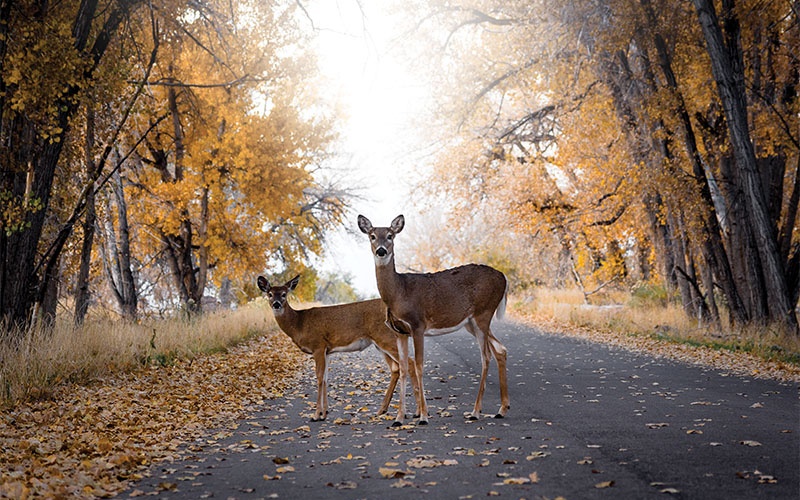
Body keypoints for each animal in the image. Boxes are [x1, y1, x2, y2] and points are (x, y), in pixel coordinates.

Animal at [258, 276, 422, 420]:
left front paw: (316, 415)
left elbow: (319, 377)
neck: (299, 324)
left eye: (284, 294)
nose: (276, 304)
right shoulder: (327, 350)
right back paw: (383, 410)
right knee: (396, 368)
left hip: (386, 338)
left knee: (409, 363)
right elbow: (325, 378)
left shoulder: (318, 345)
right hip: (380, 343)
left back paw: (417, 412)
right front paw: (325, 413)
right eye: (270, 294)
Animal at [360, 214, 510, 426]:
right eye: (372, 236)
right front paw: (398, 418)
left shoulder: (418, 325)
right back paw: (501, 409)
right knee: (500, 349)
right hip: (471, 322)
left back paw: (475, 411)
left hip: (484, 312)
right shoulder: (400, 332)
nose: (381, 250)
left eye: (390, 235)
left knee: (486, 356)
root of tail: (504, 278)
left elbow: (419, 365)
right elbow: (404, 368)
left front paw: (423, 416)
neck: (399, 292)